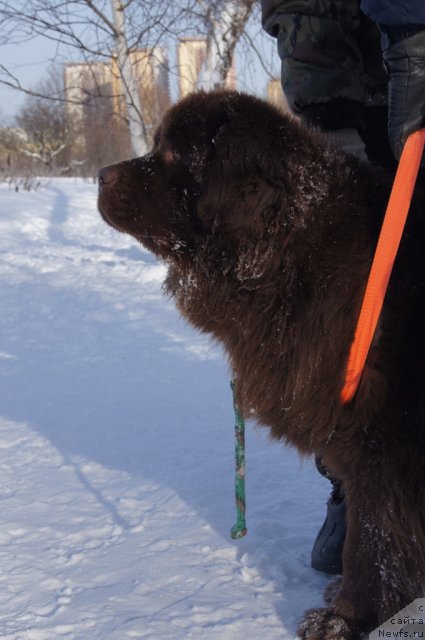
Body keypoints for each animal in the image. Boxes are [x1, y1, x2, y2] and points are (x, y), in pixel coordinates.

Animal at [97, 91, 424, 640]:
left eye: (171, 154)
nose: (100, 174)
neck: (297, 255)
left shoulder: (385, 450)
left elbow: (373, 543)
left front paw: (344, 619)